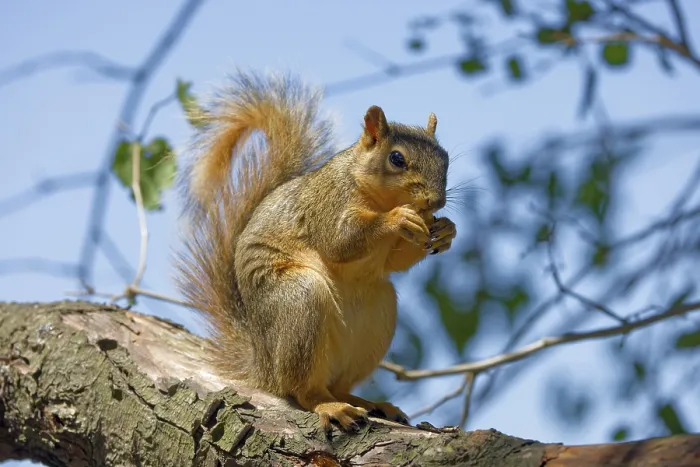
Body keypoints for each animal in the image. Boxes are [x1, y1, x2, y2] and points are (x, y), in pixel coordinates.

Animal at [176, 70, 456, 434]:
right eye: (397, 158)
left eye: (445, 158)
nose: (436, 202)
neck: (375, 194)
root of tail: (263, 367)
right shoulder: (327, 203)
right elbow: (340, 240)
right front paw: (398, 219)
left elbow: (396, 261)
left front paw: (446, 230)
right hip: (300, 301)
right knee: (303, 391)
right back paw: (332, 407)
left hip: (378, 314)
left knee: (339, 384)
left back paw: (370, 403)